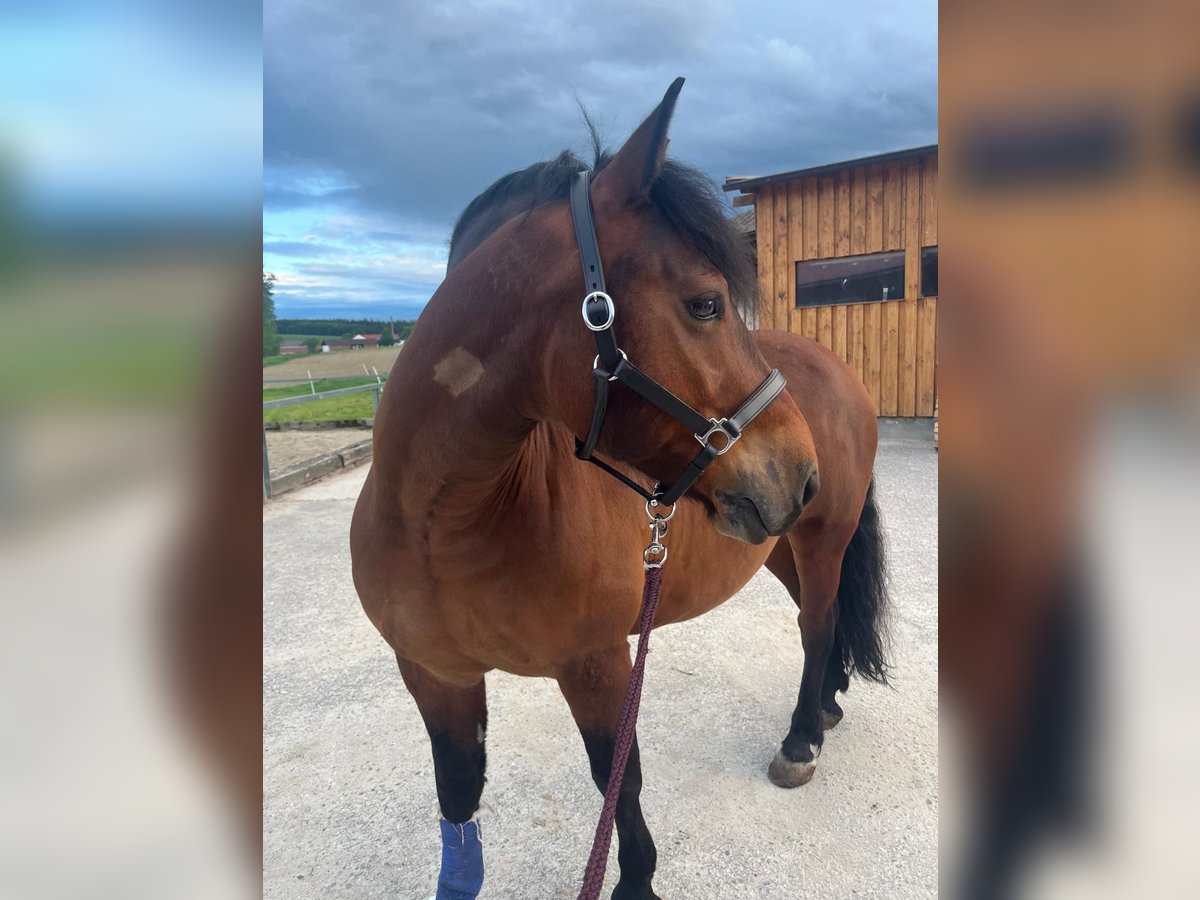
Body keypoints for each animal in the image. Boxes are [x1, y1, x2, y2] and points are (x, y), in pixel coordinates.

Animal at [350, 79, 888, 900]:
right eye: (705, 303)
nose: (800, 472)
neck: (445, 522)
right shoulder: (435, 677)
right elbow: (459, 796)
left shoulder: (599, 665)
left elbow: (617, 781)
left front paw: (634, 882)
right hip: (780, 546)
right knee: (815, 624)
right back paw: (824, 707)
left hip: (821, 538)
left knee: (818, 625)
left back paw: (800, 740)